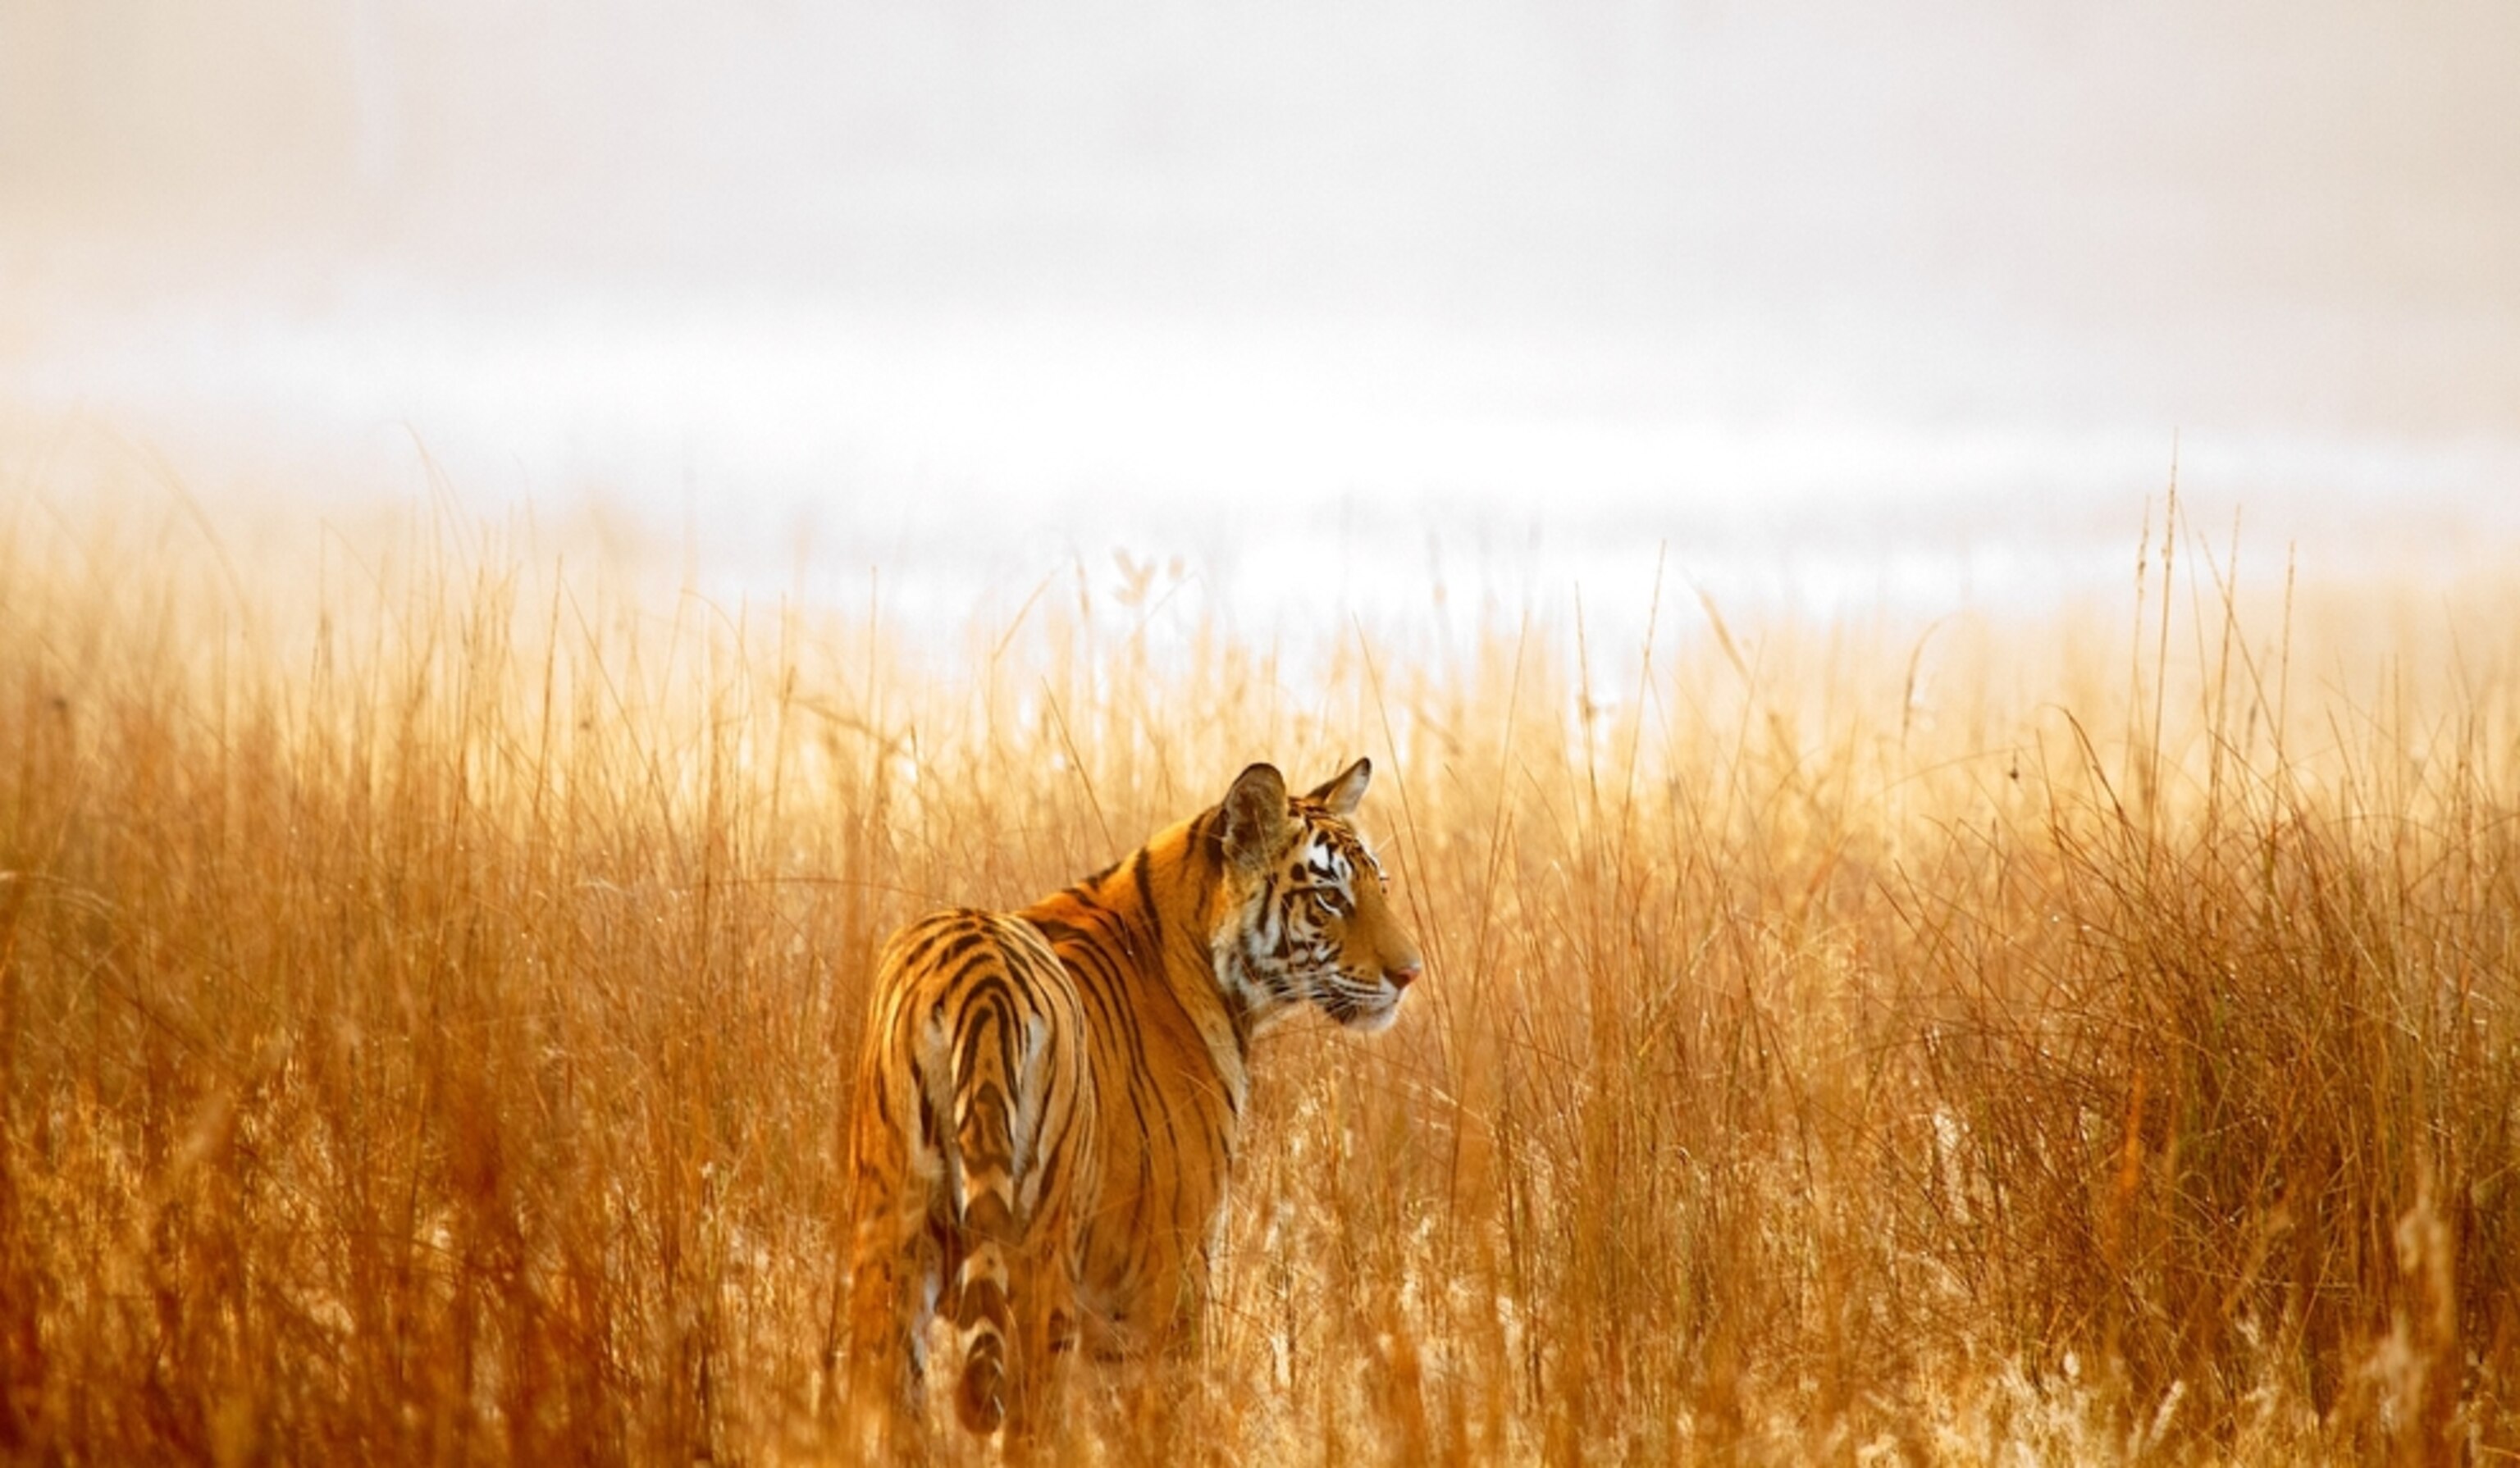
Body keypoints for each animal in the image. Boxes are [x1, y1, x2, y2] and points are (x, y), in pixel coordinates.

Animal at [839, 757, 1424, 1443]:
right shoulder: (1164, 1278)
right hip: (1039, 1264)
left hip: (887, 1249)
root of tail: (980, 975)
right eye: (1330, 898)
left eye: (1380, 885)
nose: (1410, 974)